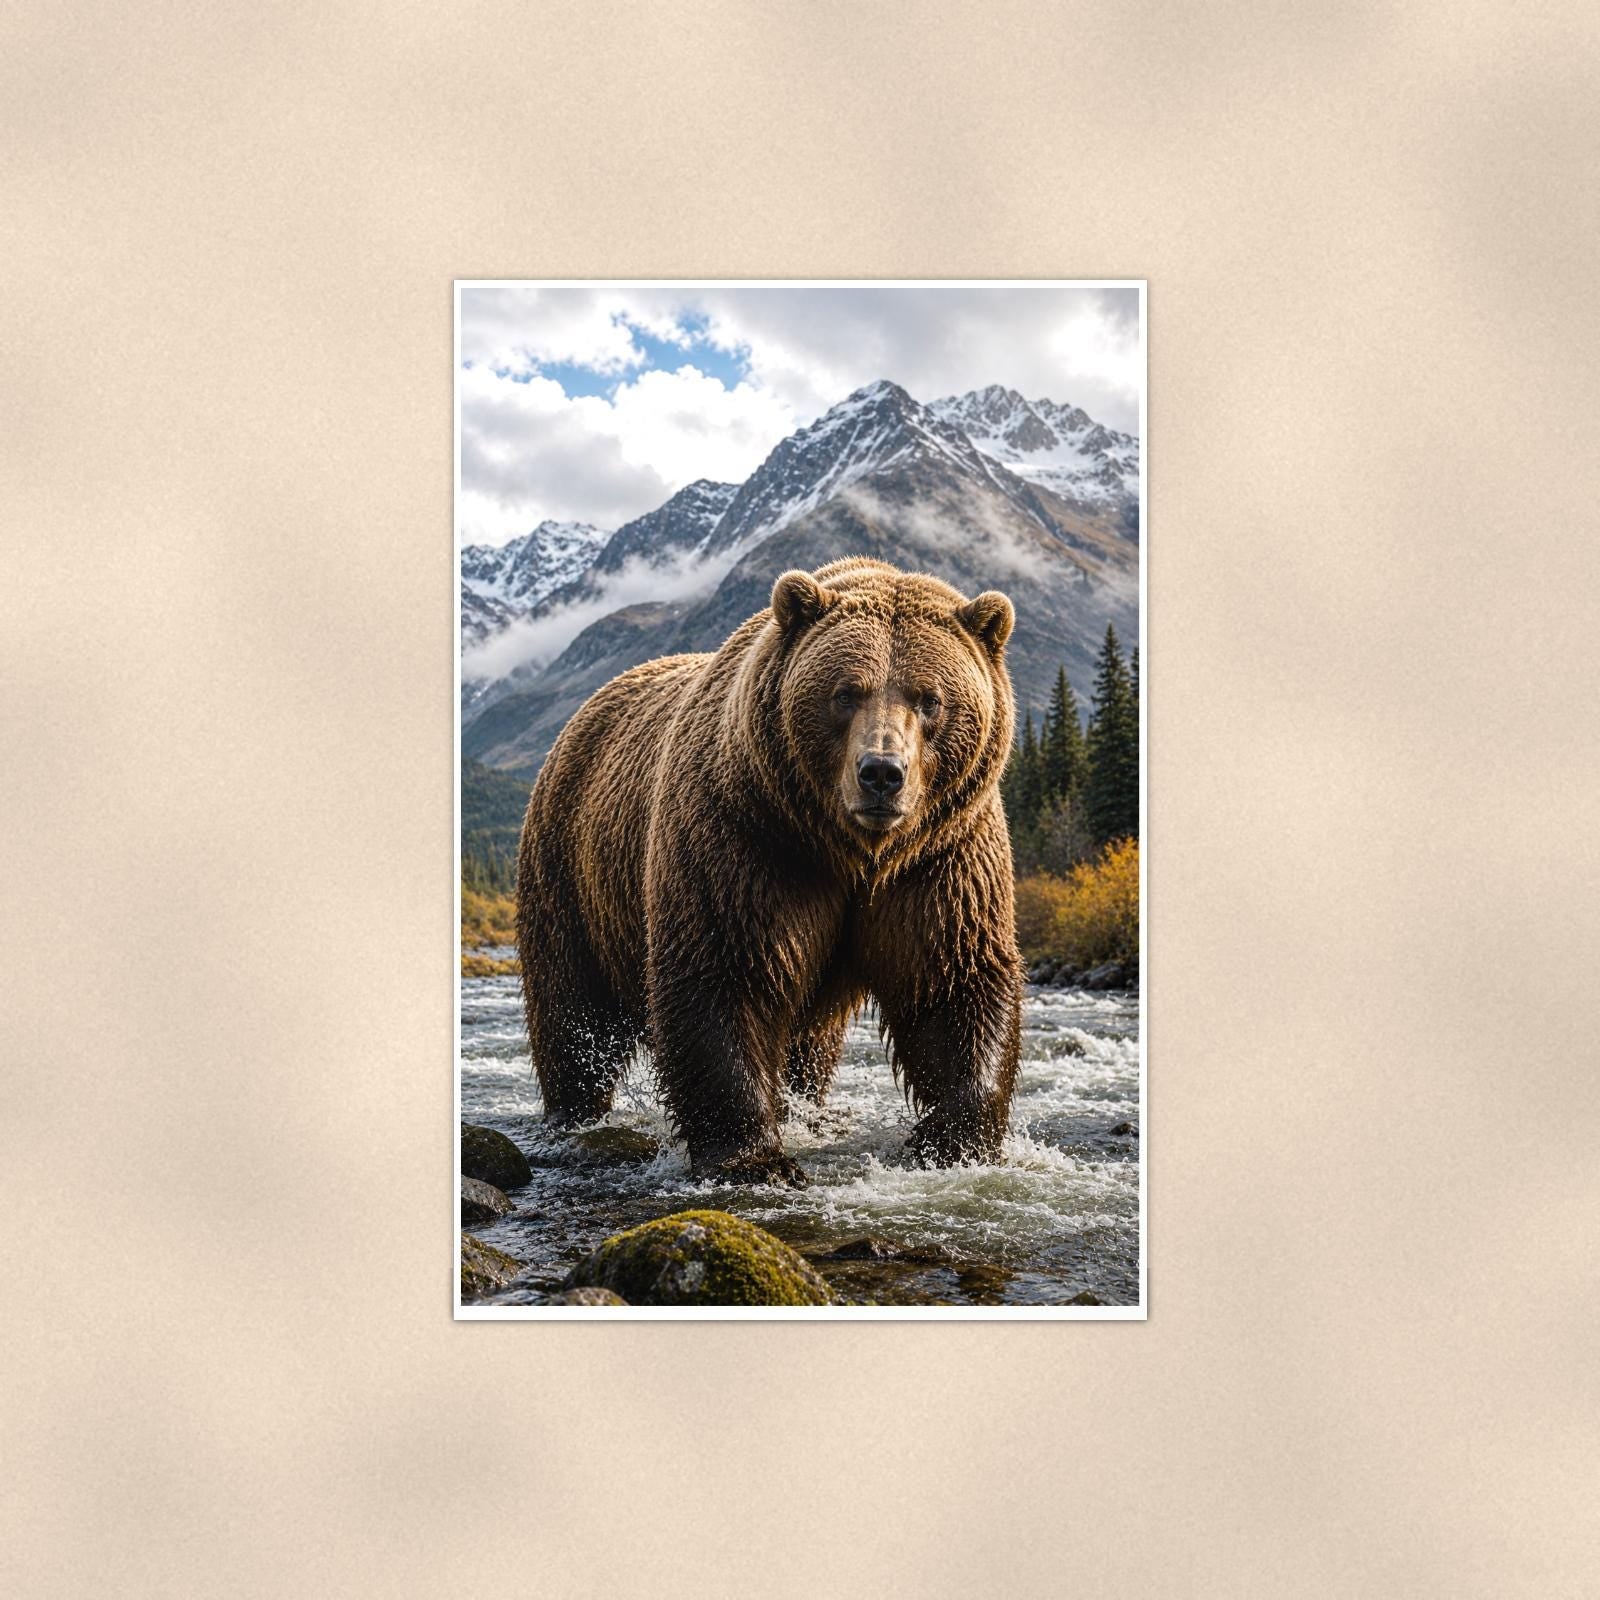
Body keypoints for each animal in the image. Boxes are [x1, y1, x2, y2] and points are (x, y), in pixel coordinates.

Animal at [515, 557, 1023, 1186]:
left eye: (929, 698)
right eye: (845, 693)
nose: (882, 773)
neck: (852, 851)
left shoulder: (941, 859)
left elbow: (953, 982)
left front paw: (953, 1142)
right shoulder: (749, 842)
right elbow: (726, 972)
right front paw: (756, 1159)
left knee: (810, 1045)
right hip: (570, 869)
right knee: (571, 1007)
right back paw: (574, 1112)